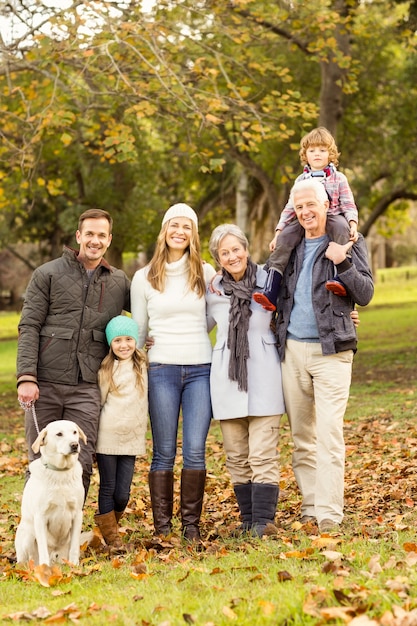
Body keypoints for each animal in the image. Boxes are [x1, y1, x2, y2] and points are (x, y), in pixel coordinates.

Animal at [15, 420, 87, 564]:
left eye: (74, 432)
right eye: (59, 434)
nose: (74, 445)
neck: (61, 472)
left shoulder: (77, 514)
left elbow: (74, 546)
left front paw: (75, 565)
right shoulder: (40, 517)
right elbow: (43, 548)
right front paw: (45, 567)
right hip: (28, 533)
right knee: (29, 559)